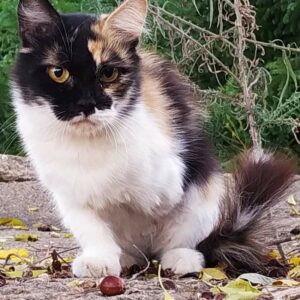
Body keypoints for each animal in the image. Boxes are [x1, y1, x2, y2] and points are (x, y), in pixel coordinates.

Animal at [11, 0, 296, 278]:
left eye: (108, 74)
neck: (87, 143)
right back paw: (126, 259)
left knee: (183, 242)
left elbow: (144, 186)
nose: (87, 105)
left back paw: (181, 259)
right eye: (58, 72)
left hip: (202, 197)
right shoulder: (69, 195)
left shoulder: (170, 172)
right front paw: (99, 259)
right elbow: (92, 227)